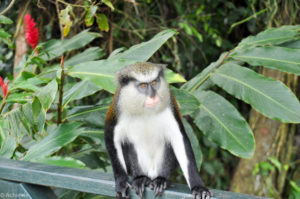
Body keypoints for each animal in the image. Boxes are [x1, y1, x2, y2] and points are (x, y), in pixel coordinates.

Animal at [105, 62, 211, 199]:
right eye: (143, 85)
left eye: (155, 82)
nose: (153, 96)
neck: (145, 111)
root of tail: (151, 173)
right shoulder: (116, 111)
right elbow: (111, 138)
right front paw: (121, 182)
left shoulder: (170, 107)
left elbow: (179, 138)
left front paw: (198, 187)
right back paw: (141, 178)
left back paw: (160, 180)